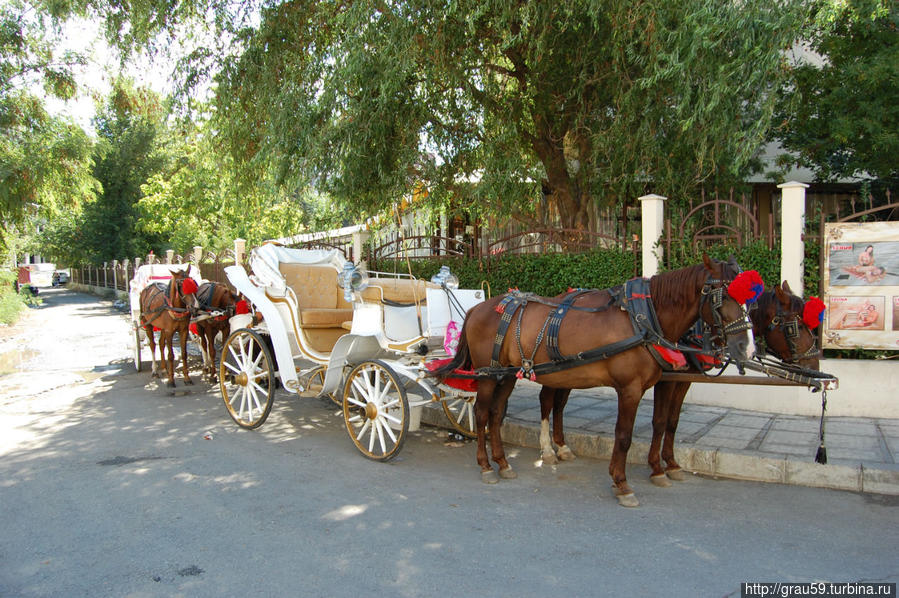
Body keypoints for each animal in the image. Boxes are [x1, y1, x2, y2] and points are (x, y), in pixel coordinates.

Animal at [432, 255, 756, 508]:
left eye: (749, 301)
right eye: (721, 295)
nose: (747, 348)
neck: (644, 318)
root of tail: (477, 308)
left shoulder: (661, 382)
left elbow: (663, 423)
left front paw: (657, 471)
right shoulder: (630, 388)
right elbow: (624, 435)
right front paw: (622, 484)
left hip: (507, 374)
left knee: (497, 414)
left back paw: (503, 463)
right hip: (487, 374)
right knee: (481, 414)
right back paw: (486, 465)